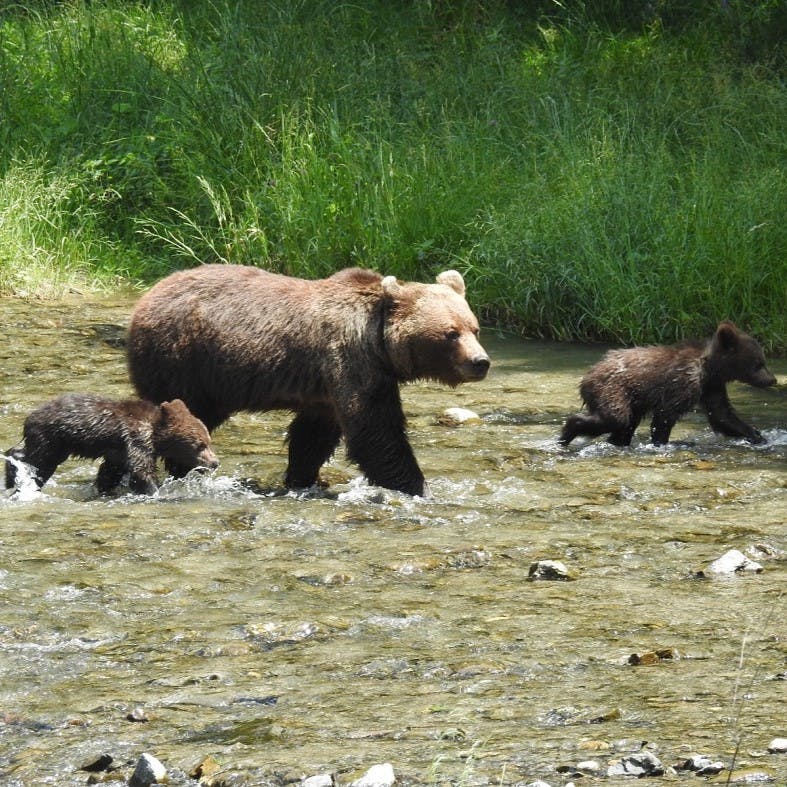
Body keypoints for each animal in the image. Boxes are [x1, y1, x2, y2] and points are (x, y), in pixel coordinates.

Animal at [127, 268, 490, 496]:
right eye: (450, 333)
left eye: (474, 328)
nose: (480, 362)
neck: (380, 345)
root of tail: (145, 298)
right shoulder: (352, 362)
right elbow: (375, 430)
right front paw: (416, 486)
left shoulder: (325, 390)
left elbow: (313, 436)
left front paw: (303, 478)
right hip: (183, 361)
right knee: (185, 416)